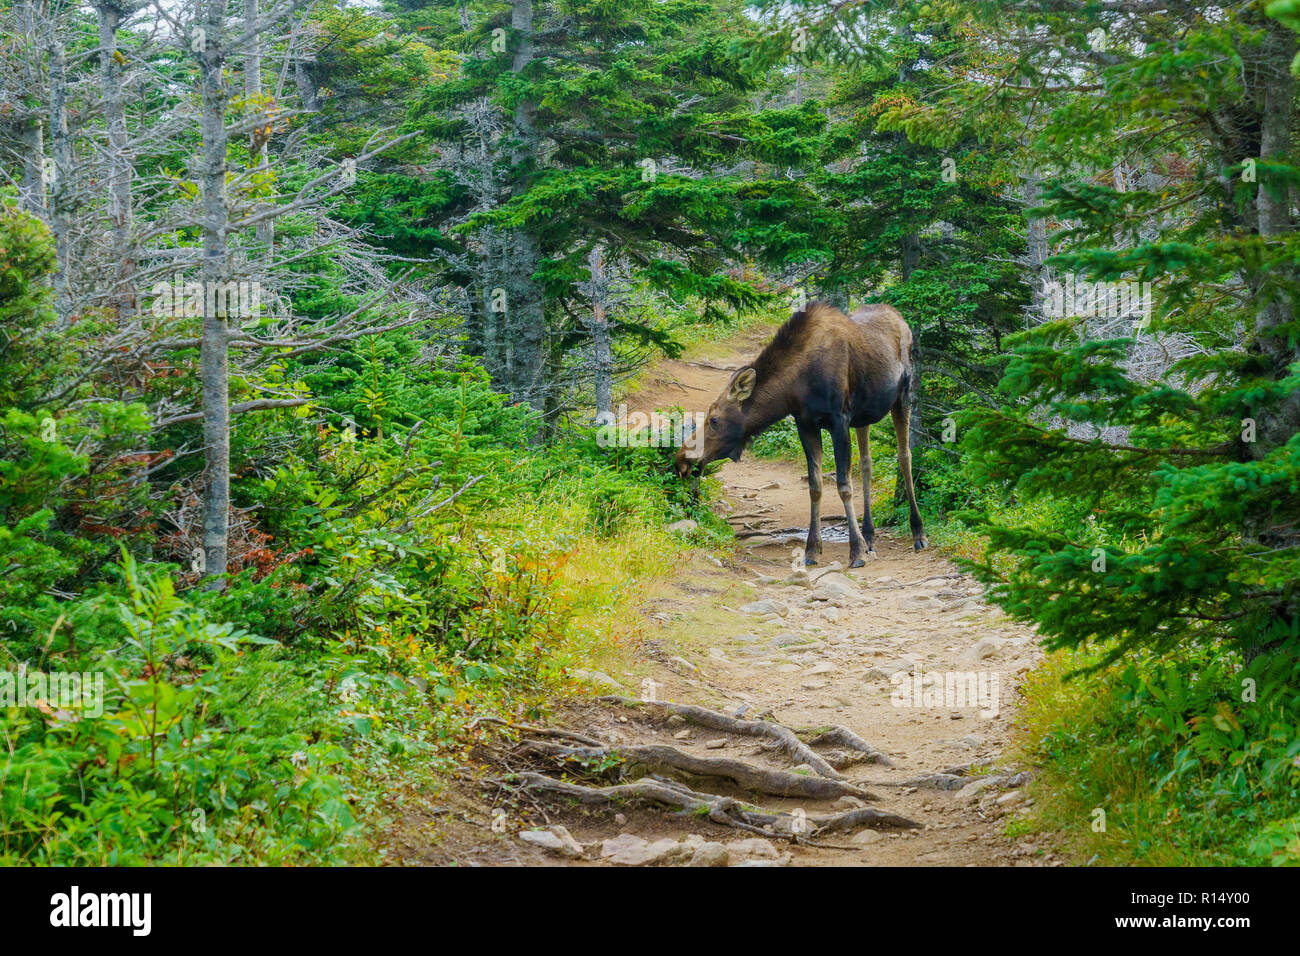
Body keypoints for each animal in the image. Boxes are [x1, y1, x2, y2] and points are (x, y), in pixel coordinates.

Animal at [675, 302, 926, 568]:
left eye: (714, 419)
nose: (681, 460)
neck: (795, 387)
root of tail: (900, 318)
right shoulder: (805, 424)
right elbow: (815, 486)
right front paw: (812, 549)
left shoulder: (839, 420)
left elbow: (844, 485)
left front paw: (855, 551)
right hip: (863, 416)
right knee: (867, 462)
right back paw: (869, 536)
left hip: (903, 397)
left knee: (905, 456)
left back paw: (917, 533)